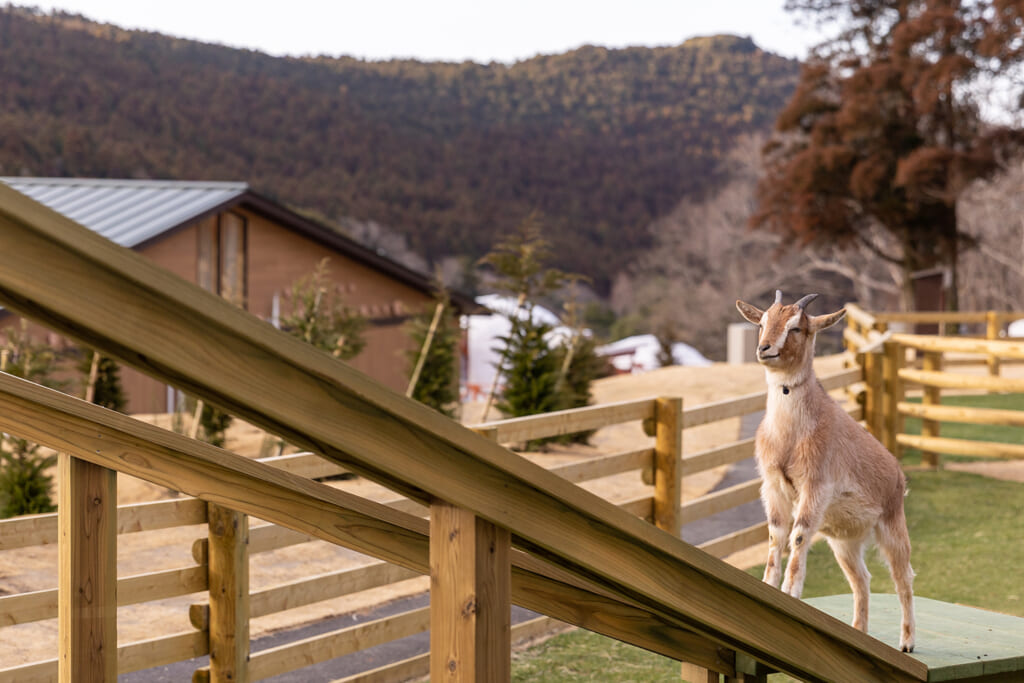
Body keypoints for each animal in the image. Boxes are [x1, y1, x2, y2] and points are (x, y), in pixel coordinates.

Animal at [733, 290, 917, 655]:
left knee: (903, 577)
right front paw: (767, 586)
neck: (790, 437)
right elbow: (776, 536)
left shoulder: (815, 486)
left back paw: (907, 642)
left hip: (892, 524)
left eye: (796, 328)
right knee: (862, 579)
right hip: (845, 541)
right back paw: (859, 632)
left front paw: (791, 592)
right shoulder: (773, 487)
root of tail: (898, 474)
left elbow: (799, 536)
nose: (764, 348)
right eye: (761, 323)